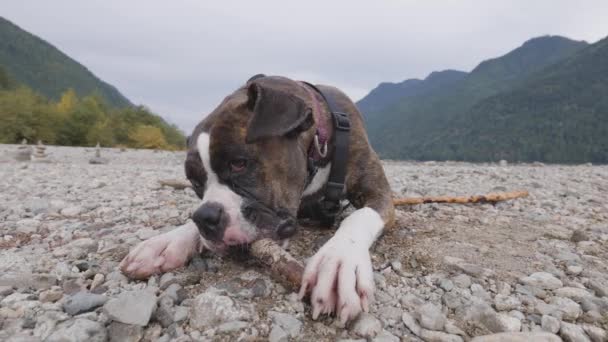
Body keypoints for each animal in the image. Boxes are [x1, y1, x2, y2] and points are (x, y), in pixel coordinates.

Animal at [120, 75, 394, 324]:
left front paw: (339, 258)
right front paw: (168, 241)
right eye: (195, 182)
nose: (205, 217)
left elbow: (360, 216)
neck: (319, 144)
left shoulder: (379, 192)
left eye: (239, 164)